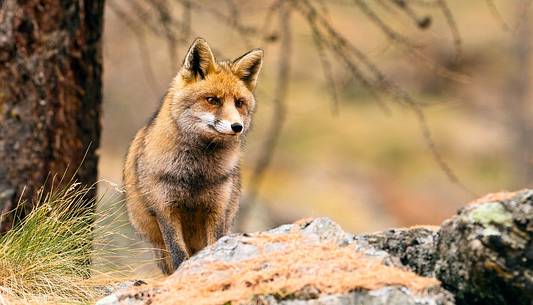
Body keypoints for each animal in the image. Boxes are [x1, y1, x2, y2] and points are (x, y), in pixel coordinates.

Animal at [121, 38, 262, 274]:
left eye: (239, 103)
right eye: (212, 100)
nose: (237, 127)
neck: (195, 174)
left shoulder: (217, 208)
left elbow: (215, 244)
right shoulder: (165, 209)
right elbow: (178, 254)